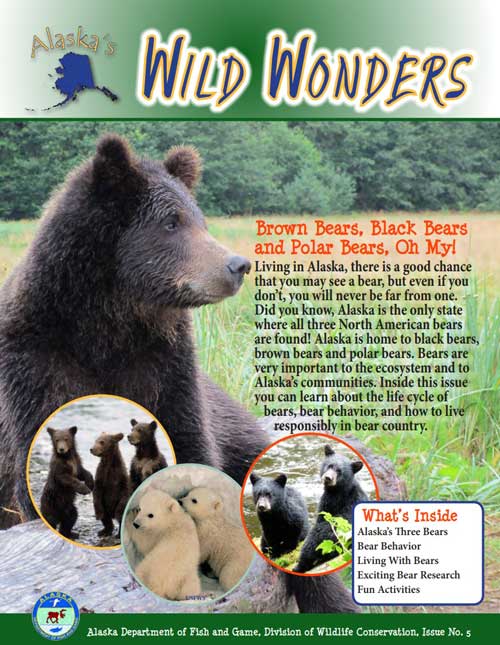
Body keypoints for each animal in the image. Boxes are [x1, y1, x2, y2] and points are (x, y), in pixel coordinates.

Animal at [0, 135, 357, 613]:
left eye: (199, 219)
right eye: (171, 223)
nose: (237, 265)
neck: (112, 321)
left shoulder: (165, 365)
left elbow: (190, 440)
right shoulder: (37, 360)